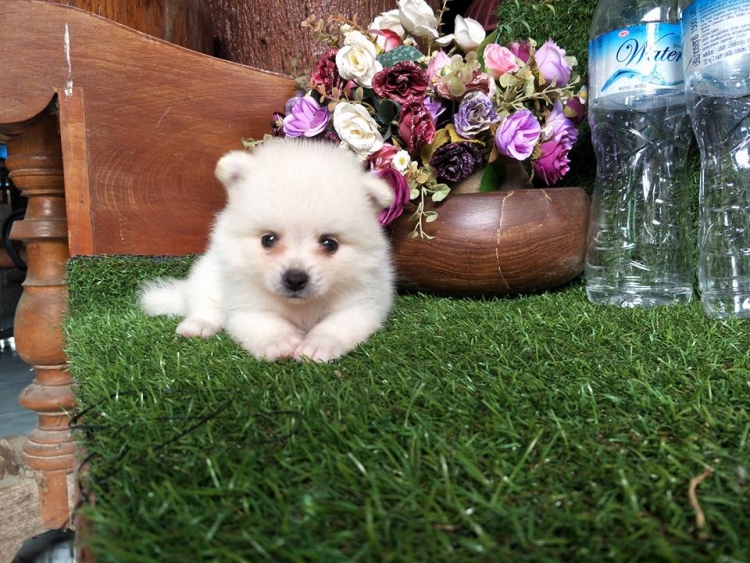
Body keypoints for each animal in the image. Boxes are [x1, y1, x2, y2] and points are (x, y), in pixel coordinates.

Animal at [139, 138, 395, 362]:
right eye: (268, 239)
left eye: (330, 244)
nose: (295, 279)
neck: (300, 307)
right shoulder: (245, 304)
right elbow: (265, 322)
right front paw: (281, 342)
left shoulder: (362, 303)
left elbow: (336, 326)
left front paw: (317, 345)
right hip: (210, 273)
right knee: (204, 302)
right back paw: (198, 324)